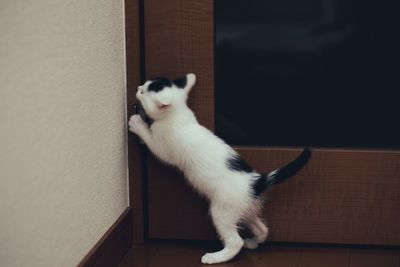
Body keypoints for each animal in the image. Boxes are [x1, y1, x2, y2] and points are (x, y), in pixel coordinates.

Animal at [128, 74, 310, 266]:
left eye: (143, 92)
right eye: (143, 85)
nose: (138, 87)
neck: (178, 114)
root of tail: (256, 181)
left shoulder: (164, 148)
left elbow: (151, 141)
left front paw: (137, 123)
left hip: (222, 211)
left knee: (235, 241)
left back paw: (216, 257)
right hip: (245, 209)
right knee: (262, 228)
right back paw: (253, 242)